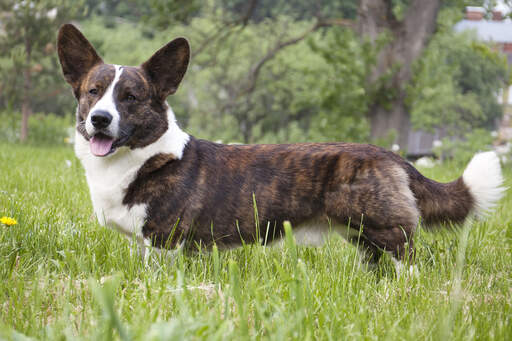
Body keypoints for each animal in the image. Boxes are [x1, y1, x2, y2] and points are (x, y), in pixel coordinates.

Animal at [56, 23, 504, 268]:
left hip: (385, 230)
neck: (142, 158)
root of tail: (391, 155)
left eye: (131, 97)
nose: (100, 119)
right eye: (93, 92)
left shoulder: (165, 243)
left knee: (410, 263)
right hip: (364, 237)